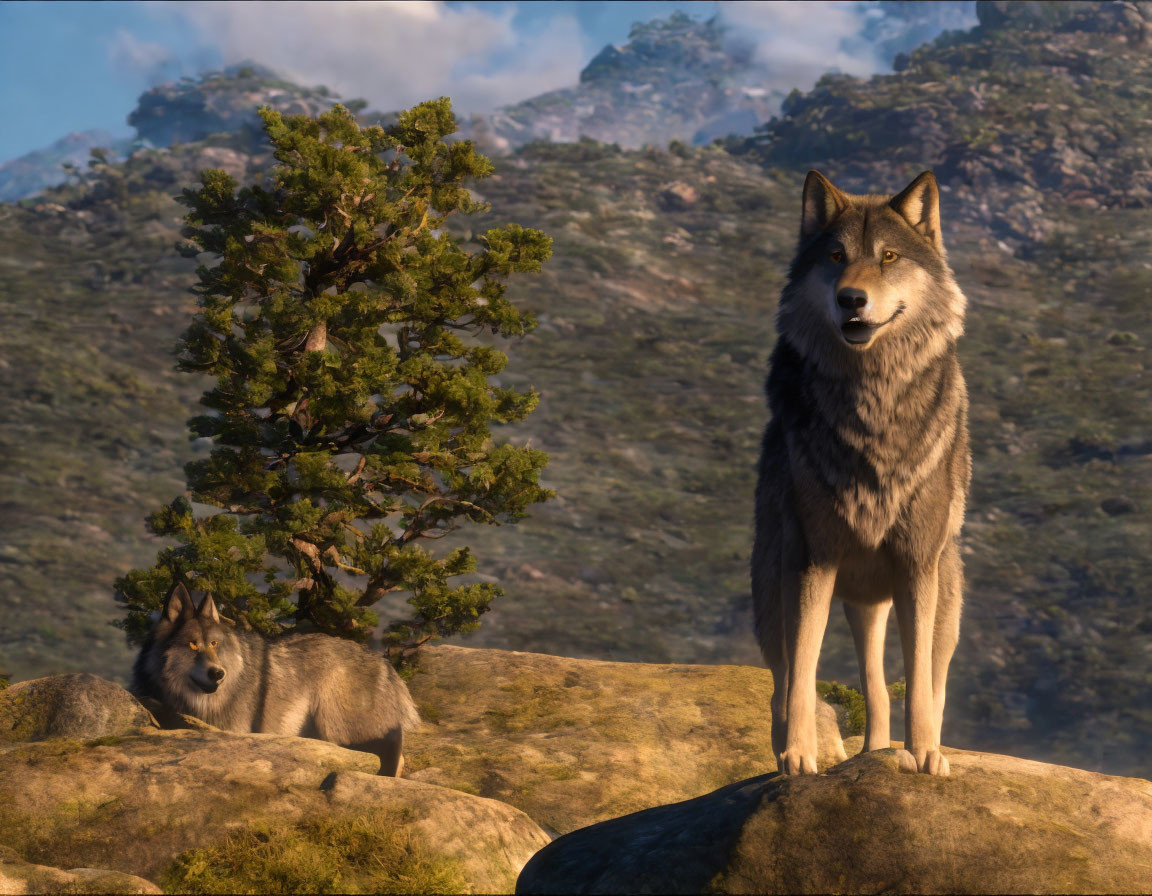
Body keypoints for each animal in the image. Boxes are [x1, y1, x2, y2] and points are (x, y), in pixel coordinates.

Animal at [755, 168, 972, 773]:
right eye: (836, 256)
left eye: (889, 256)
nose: (851, 297)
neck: (871, 405)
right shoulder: (811, 560)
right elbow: (803, 672)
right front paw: (799, 757)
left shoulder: (916, 563)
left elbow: (917, 680)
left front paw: (924, 755)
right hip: (776, 591)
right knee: (790, 680)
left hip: (939, 598)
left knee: (919, 679)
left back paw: (892, 751)